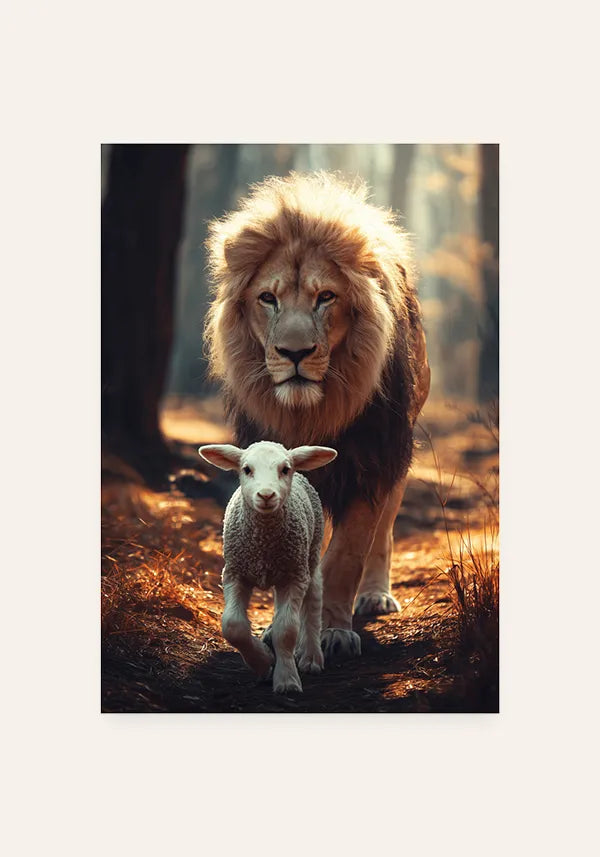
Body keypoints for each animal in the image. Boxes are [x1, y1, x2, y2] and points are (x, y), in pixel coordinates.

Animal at [205, 171, 430, 660]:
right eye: (267, 298)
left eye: (325, 297)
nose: (294, 353)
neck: (311, 412)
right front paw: (276, 631)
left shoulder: (371, 462)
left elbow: (345, 555)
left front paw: (333, 632)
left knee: (384, 532)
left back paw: (373, 596)